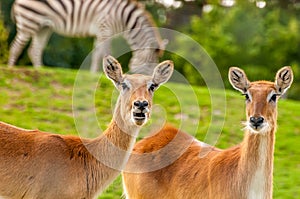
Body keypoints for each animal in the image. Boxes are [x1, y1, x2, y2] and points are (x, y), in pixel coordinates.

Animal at [8, 0, 166, 74]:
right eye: (150, 65)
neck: (124, 17)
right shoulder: (105, 27)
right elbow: (106, 53)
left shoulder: (101, 32)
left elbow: (97, 54)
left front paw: (93, 73)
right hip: (29, 21)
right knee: (16, 47)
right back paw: (10, 68)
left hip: (43, 27)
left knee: (34, 50)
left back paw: (40, 69)